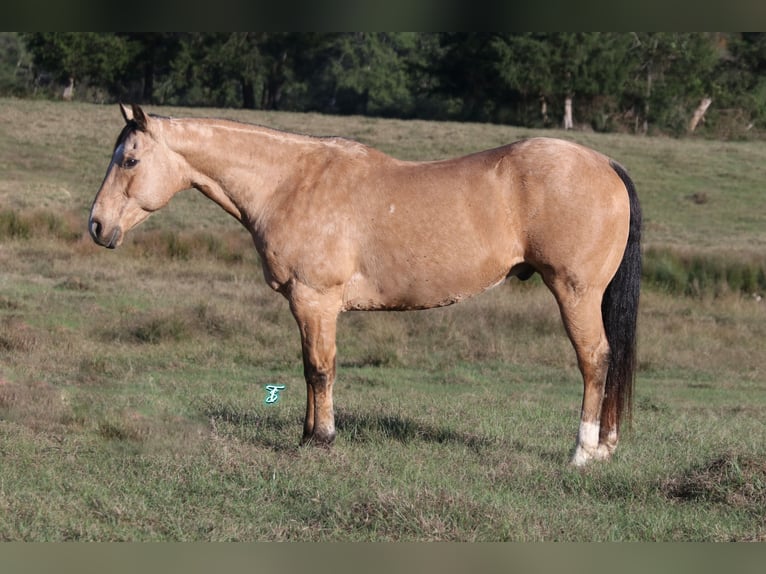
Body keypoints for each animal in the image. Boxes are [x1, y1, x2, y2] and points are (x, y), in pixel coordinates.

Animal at [90, 104, 640, 468]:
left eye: (130, 160)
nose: (96, 226)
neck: (289, 183)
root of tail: (605, 163)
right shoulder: (305, 305)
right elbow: (309, 368)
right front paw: (306, 435)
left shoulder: (315, 299)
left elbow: (320, 370)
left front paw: (322, 439)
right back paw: (607, 447)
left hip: (575, 293)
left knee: (595, 360)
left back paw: (583, 452)